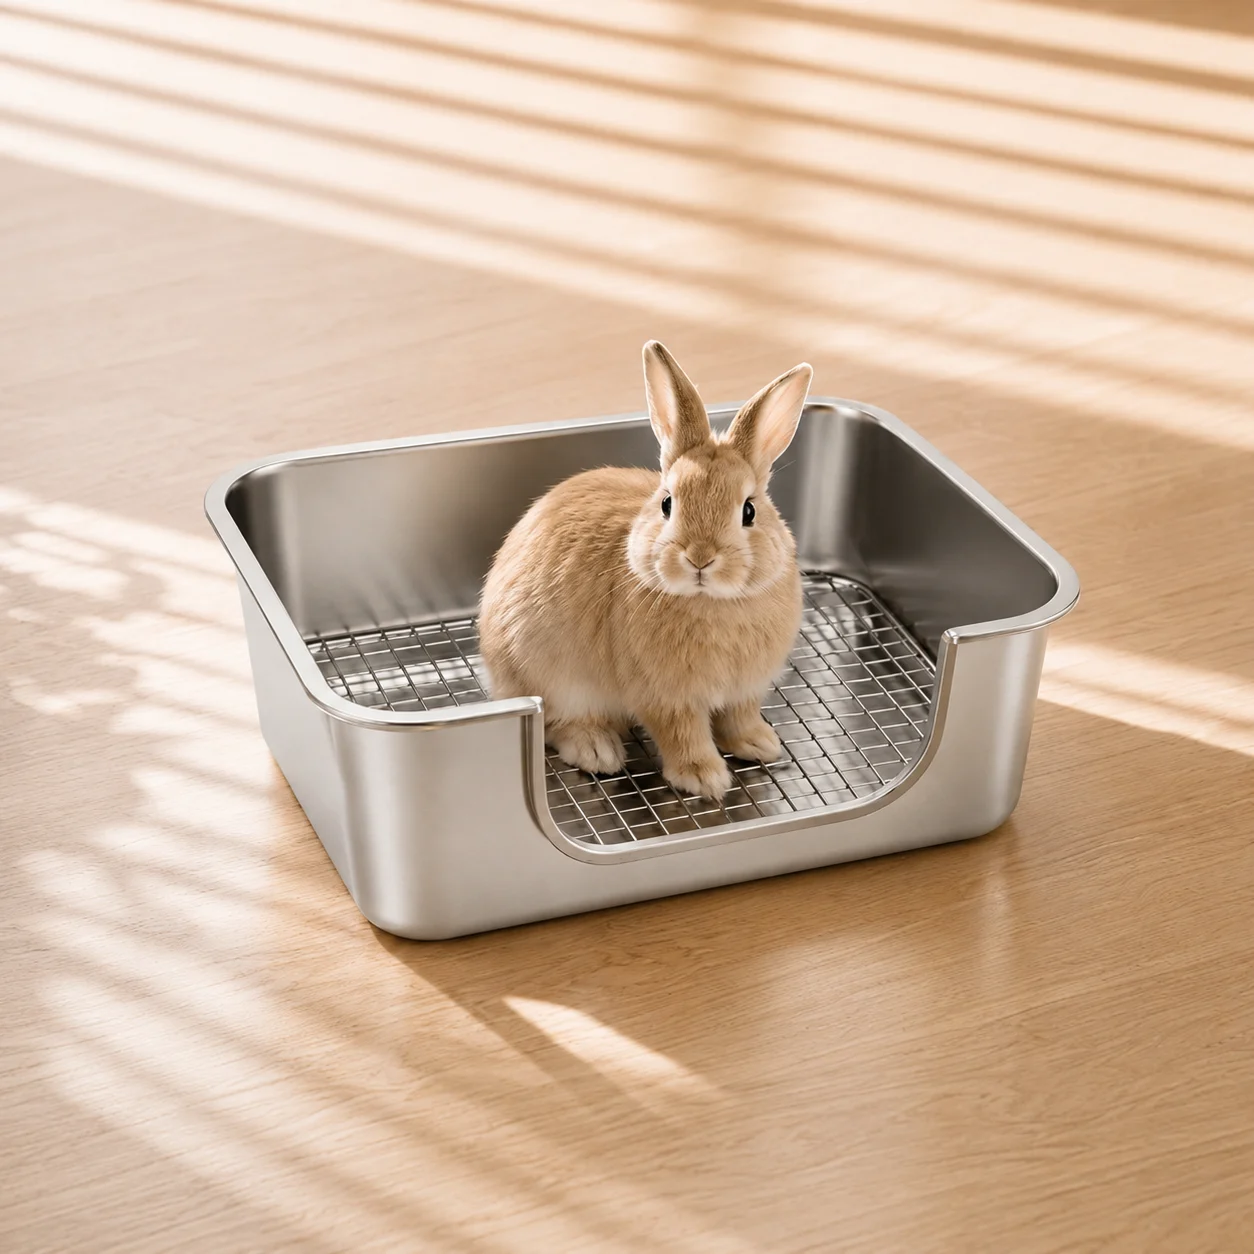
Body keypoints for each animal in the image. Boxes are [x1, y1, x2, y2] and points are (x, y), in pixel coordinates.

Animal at [478, 341, 811, 800]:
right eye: (667, 503)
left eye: (749, 511)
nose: (700, 558)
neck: (713, 602)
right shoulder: (665, 697)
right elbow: (683, 734)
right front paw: (704, 777)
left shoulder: (745, 690)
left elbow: (739, 717)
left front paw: (760, 743)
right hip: (552, 679)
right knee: (557, 724)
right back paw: (597, 749)